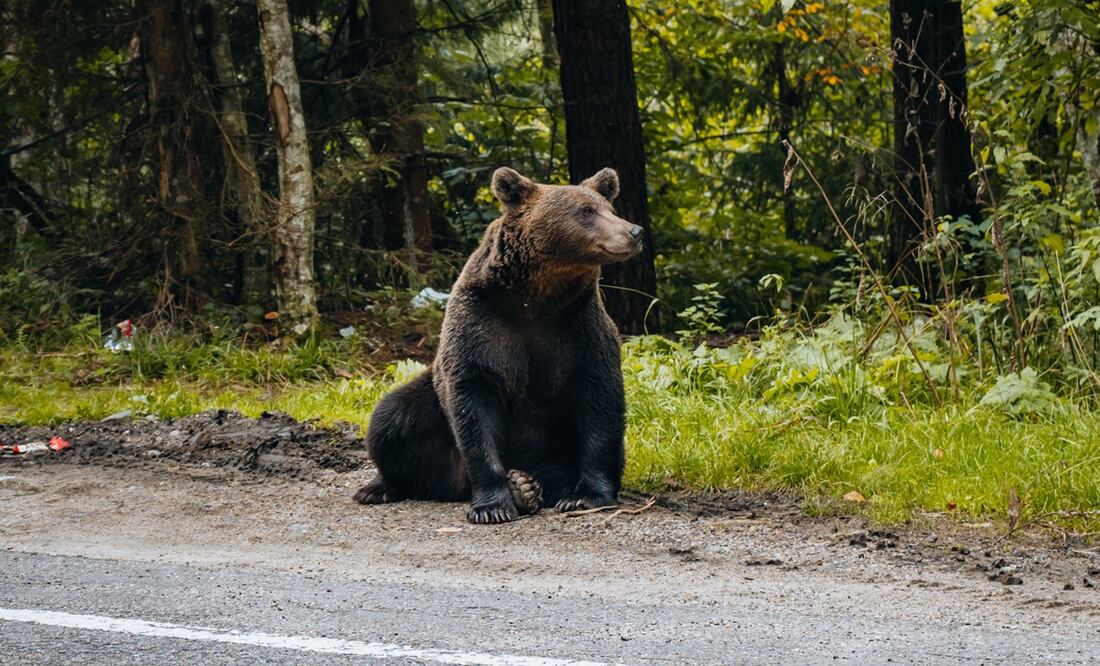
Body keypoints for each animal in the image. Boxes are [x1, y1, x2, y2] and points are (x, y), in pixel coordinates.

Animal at [353, 166, 644, 524]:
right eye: (586, 211)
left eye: (609, 208)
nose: (634, 231)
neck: (535, 297)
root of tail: (456, 484)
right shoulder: (481, 324)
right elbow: (474, 402)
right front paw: (492, 506)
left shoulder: (579, 327)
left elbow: (599, 404)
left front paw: (585, 496)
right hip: (430, 409)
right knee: (391, 419)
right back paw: (381, 487)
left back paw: (527, 486)